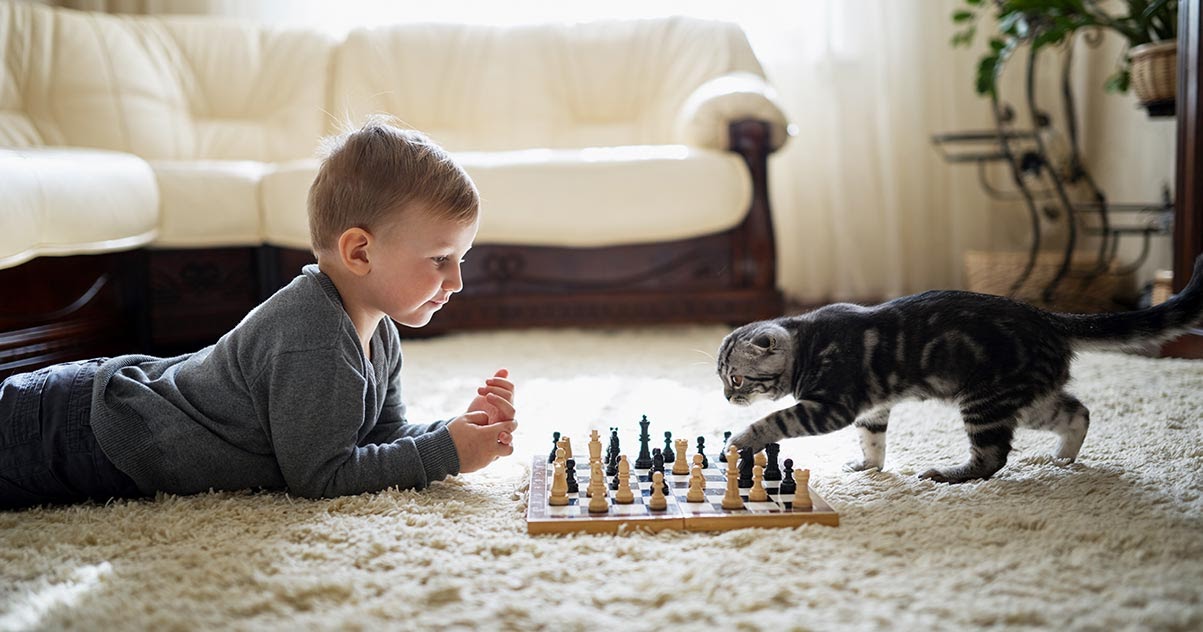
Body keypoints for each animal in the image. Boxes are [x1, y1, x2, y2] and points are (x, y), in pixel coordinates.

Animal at [716, 254, 1198, 481]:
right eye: (722, 381)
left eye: (735, 378)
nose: (726, 397)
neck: (808, 343)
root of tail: (1046, 318)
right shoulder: (871, 409)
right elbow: (872, 440)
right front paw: (869, 467)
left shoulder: (830, 405)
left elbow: (775, 419)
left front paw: (740, 441)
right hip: (1026, 398)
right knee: (1077, 411)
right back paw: (1063, 458)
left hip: (985, 400)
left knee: (992, 457)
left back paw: (948, 476)